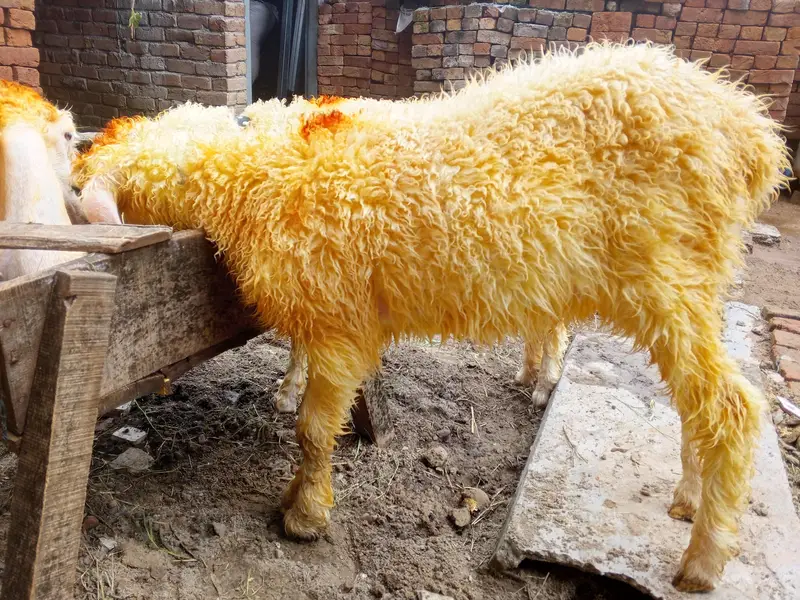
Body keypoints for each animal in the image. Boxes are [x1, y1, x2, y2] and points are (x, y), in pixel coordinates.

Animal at [73, 43, 790, 591]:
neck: (257, 170)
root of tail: (749, 133)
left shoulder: (338, 323)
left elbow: (313, 430)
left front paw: (304, 516)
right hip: (692, 286)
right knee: (698, 405)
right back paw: (688, 502)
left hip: (669, 280)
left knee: (732, 407)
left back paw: (702, 562)